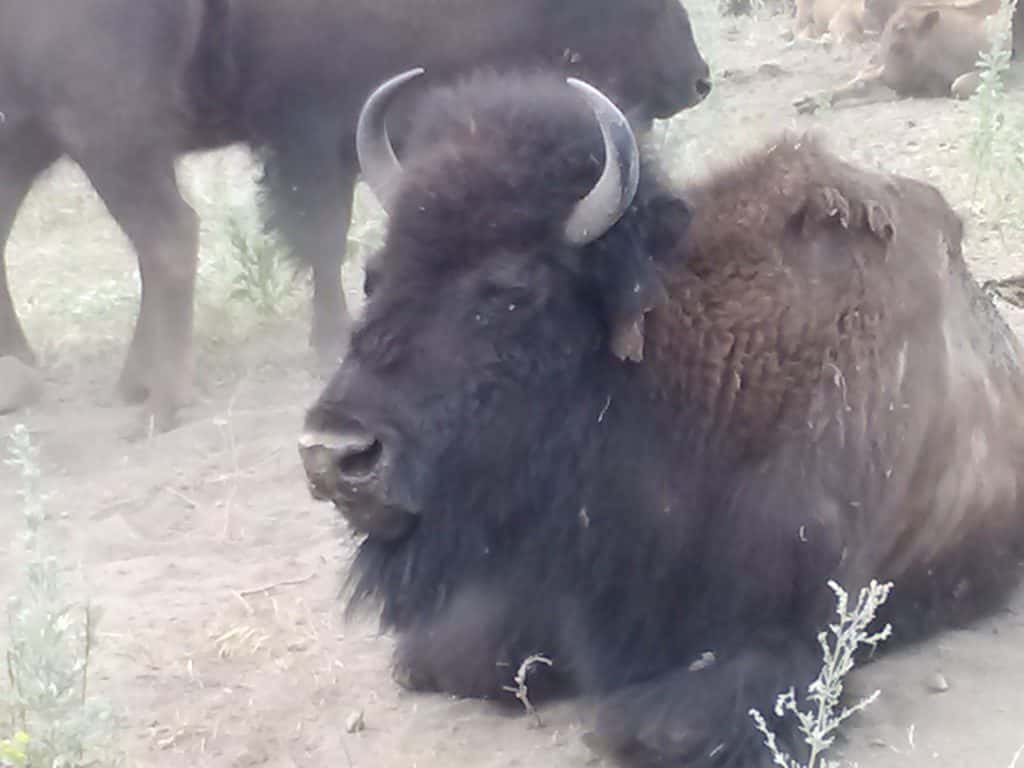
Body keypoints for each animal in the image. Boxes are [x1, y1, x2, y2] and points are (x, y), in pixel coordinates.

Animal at [0, 0, 710, 430]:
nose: (697, 80)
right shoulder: (316, 126)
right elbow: (323, 232)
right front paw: (334, 338)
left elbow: (326, 233)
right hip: (93, 136)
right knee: (165, 237)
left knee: (161, 237)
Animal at [299, 69, 1024, 766]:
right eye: (373, 276)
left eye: (512, 293)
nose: (336, 453)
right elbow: (441, 657)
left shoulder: (780, 640)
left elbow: (648, 726)